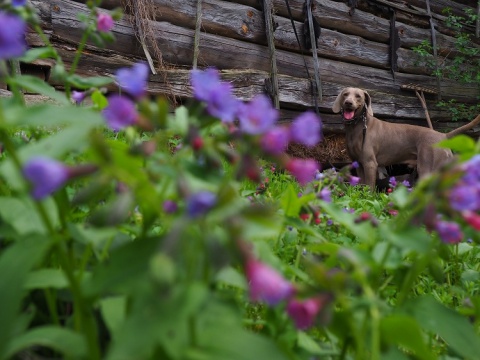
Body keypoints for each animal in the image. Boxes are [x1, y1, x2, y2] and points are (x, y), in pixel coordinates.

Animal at [334, 87, 480, 188]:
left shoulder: (370, 163)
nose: (348, 103)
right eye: (345, 94)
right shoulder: (358, 163)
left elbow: (369, 188)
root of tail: (443, 135)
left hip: (428, 169)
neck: (356, 128)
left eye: (358, 96)